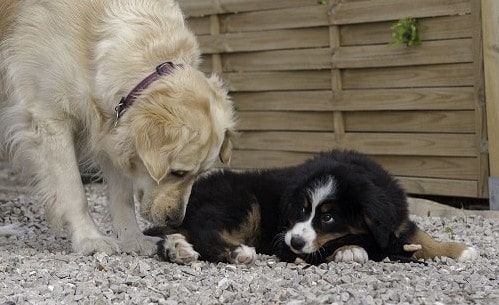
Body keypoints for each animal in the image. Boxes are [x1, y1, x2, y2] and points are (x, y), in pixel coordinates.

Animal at [0, 0, 236, 254]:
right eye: (177, 172)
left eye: (199, 174)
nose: (174, 221)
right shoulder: (50, 117)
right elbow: (74, 191)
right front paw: (89, 238)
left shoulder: (113, 125)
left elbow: (123, 196)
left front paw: (133, 238)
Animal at [144, 150, 476, 264]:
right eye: (301, 210)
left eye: (328, 217)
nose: (295, 241)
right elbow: (333, 245)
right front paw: (351, 250)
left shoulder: (395, 221)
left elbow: (421, 237)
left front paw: (459, 249)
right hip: (241, 203)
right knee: (206, 231)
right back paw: (238, 252)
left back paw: (178, 249)